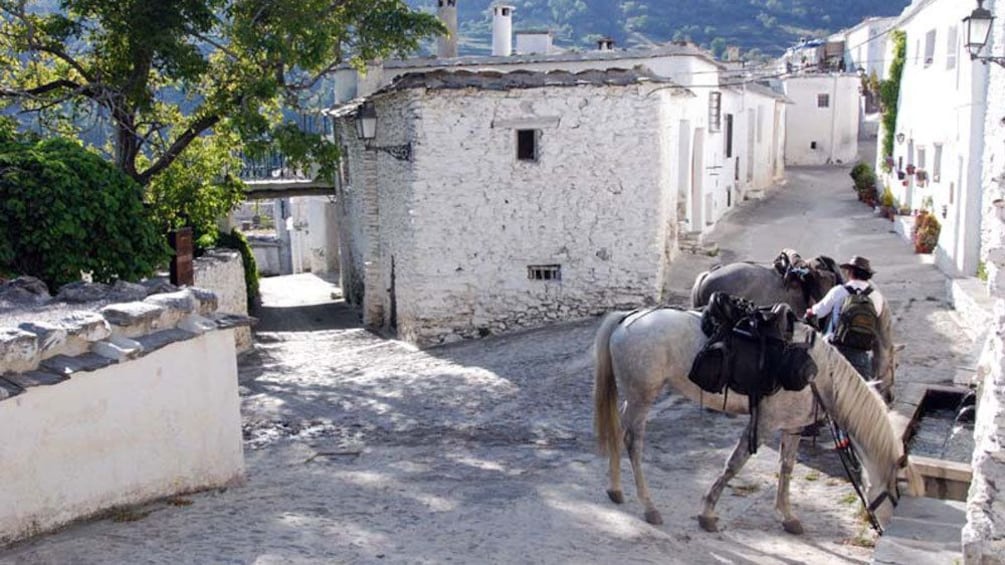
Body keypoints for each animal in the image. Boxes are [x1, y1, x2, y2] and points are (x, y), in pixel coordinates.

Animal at [590, 307, 920, 530]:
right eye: (900, 492)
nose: (886, 530)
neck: (821, 376)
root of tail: (626, 318)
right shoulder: (763, 423)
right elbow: (735, 463)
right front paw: (707, 513)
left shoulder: (793, 427)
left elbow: (786, 468)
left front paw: (788, 516)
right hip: (643, 395)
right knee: (633, 442)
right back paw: (649, 507)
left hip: (634, 397)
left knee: (618, 431)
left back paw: (615, 489)